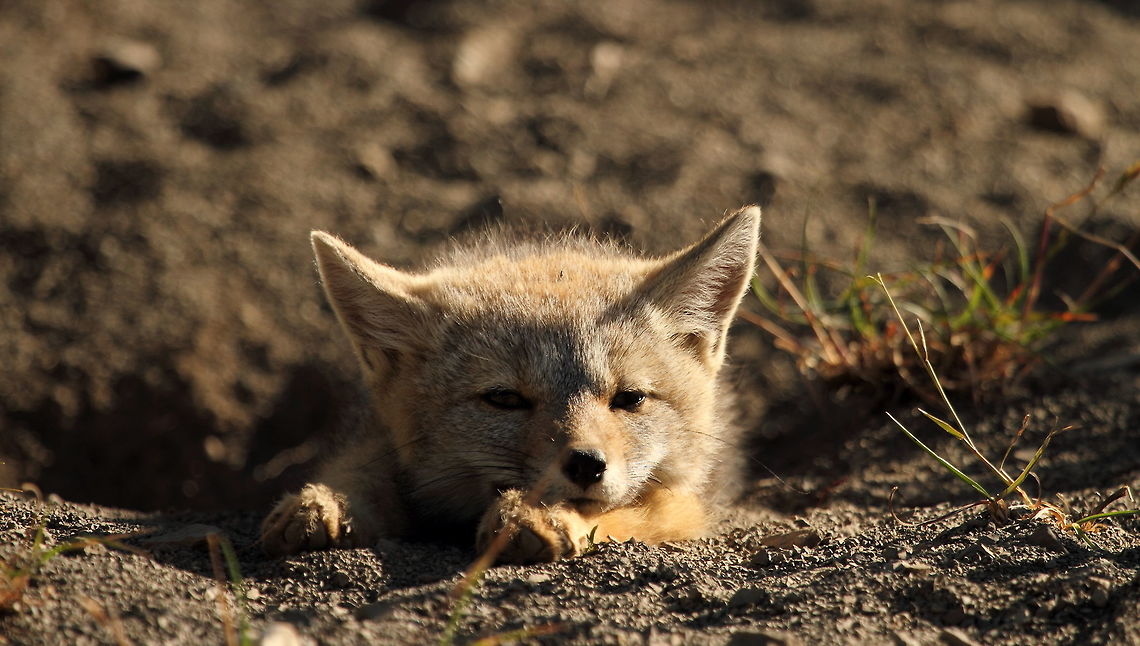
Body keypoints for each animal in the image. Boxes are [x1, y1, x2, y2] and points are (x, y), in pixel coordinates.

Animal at [260, 205, 761, 564]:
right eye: (505, 399)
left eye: (629, 398)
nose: (587, 465)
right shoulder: (373, 438)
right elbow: (362, 472)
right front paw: (326, 502)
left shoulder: (688, 506)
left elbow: (626, 511)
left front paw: (537, 514)